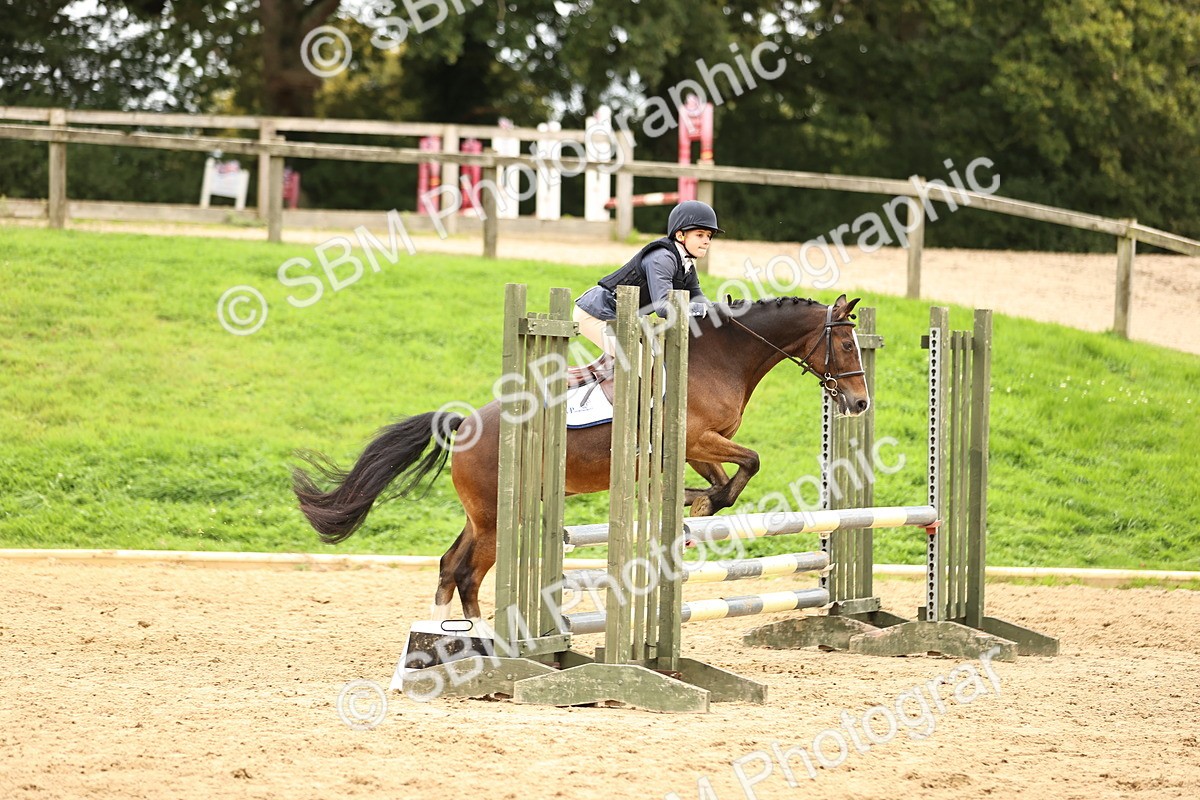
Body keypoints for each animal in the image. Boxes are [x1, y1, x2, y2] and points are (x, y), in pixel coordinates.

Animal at [292, 294, 870, 620]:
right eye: (845, 347)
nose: (861, 403)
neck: (719, 356)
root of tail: (464, 423)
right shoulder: (695, 438)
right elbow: (749, 464)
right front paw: (698, 504)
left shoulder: (697, 447)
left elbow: (727, 479)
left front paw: (692, 501)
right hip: (497, 518)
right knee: (468, 574)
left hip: (481, 514)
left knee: (449, 565)